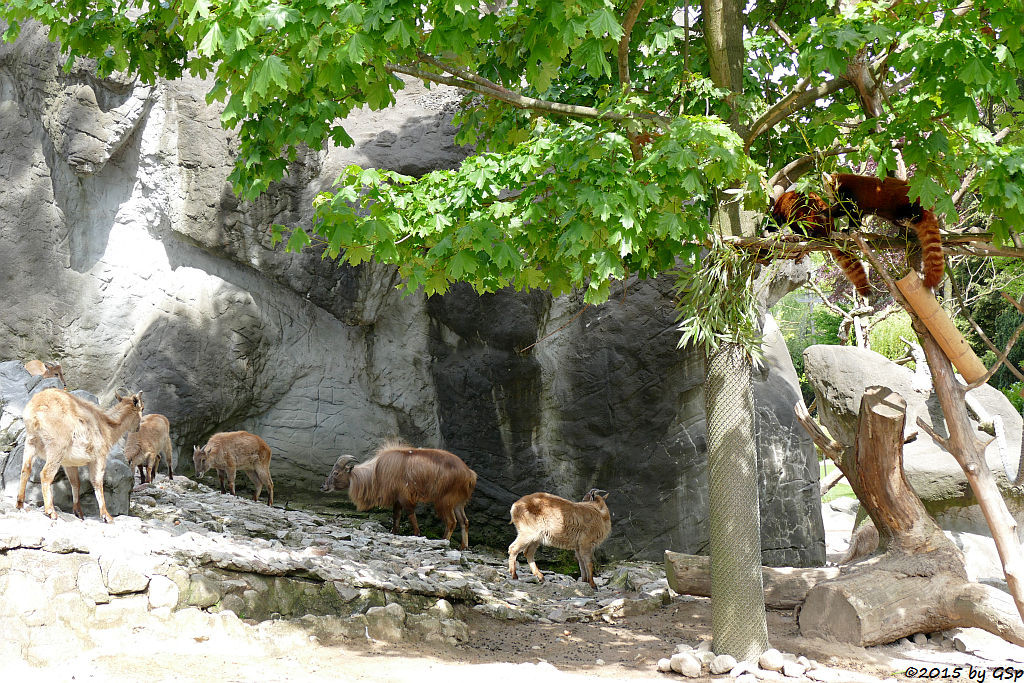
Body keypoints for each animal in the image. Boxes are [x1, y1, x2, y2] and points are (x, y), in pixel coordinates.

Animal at [17, 389, 144, 524]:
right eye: (142, 408)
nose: (138, 428)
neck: (108, 428)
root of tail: (35, 410)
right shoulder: (99, 457)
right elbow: (97, 482)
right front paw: (107, 516)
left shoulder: (69, 463)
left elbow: (75, 483)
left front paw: (78, 512)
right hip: (56, 446)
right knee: (46, 474)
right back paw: (51, 511)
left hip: (31, 442)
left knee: (26, 469)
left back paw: (20, 504)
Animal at [321, 444, 477, 548]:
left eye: (336, 473)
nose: (324, 486)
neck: (376, 471)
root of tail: (469, 474)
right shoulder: (397, 500)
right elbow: (396, 516)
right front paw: (394, 532)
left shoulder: (404, 496)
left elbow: (410, 514)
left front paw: (417, 533)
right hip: (458, 503)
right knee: (464, 521)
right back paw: (463, 547)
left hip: (445, 500)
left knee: (451, 522)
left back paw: (444, 541)